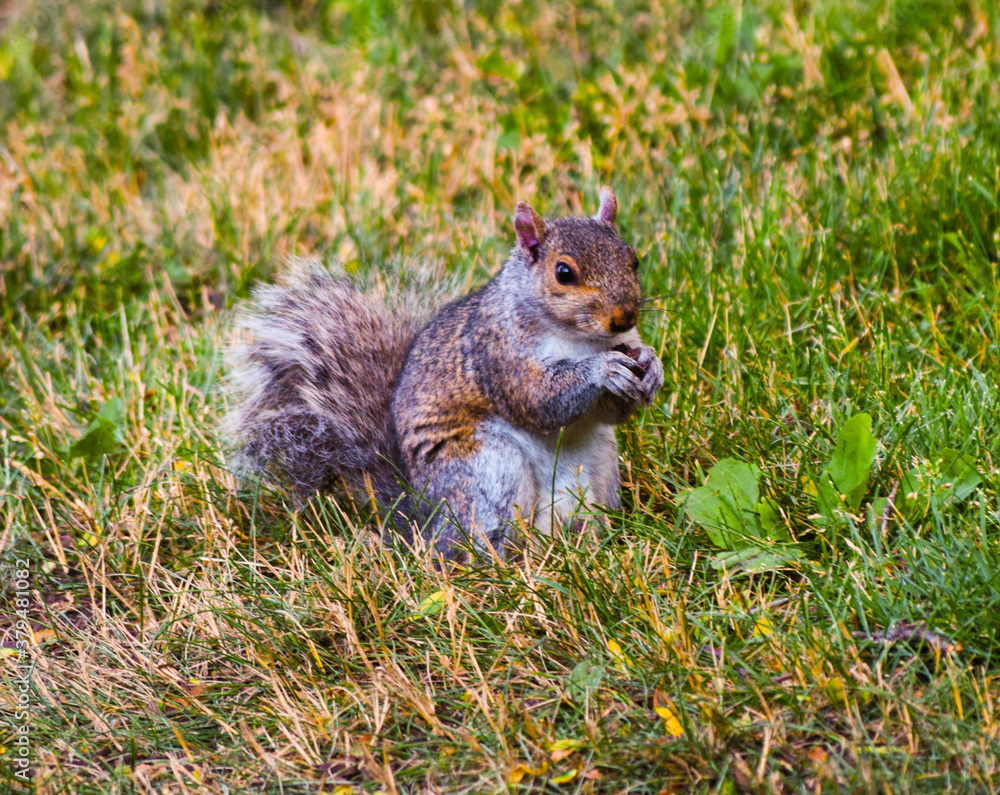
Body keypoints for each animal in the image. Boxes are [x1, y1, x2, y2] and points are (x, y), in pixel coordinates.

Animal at [225, 187, 664, 558]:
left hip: (597, 468)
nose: (625, 317)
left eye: (634, 259)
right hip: (486, 469)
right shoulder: (497, 354)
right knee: (475, 543)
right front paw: (602, 369)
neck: (580, 338)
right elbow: (538, 401)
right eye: (564, 273)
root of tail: (424, 520)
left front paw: (652, 364)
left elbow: (612, 411)